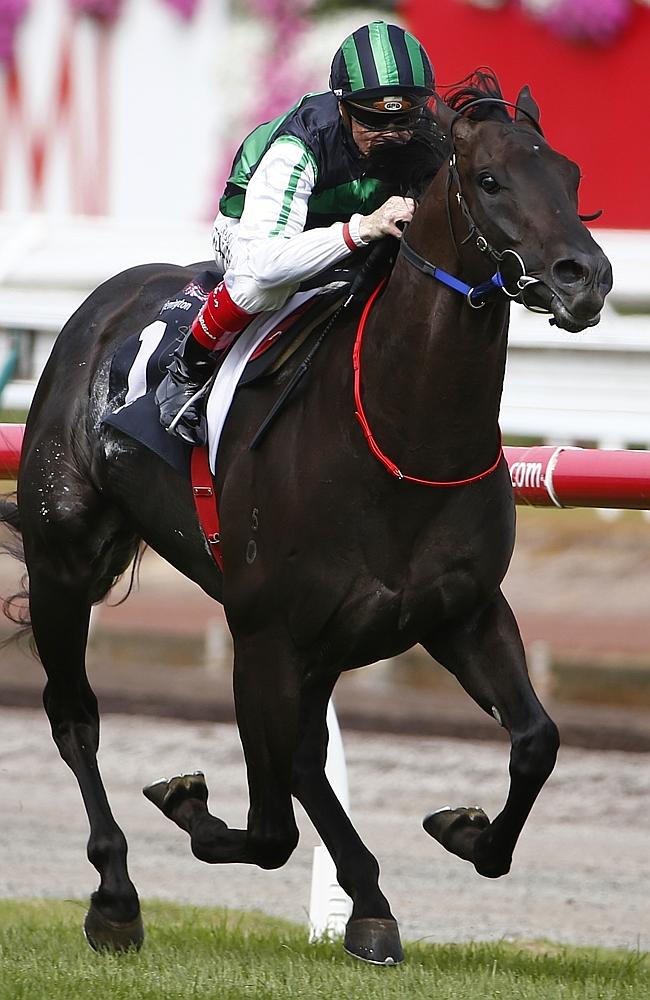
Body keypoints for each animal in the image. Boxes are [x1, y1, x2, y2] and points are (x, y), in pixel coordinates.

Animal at [1, 78, 608, 960]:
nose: (586, 276)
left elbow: (535, 741)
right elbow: (269, 823)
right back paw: (115, 896)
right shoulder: (263, 631)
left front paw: (464, 835)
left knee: (305, 757)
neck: (400, 435)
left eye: (569, 175)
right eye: (490, 181)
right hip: (64, 561)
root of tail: (102, 304)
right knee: (74, 716)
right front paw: (190, 806)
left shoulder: (460, 611)